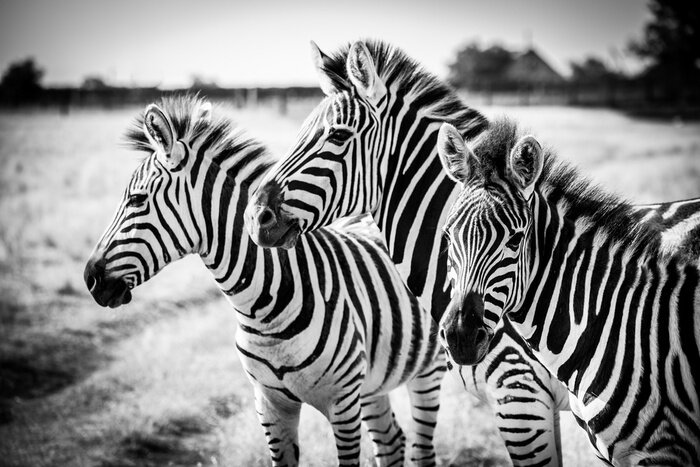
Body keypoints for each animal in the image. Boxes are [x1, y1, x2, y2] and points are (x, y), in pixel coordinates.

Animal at [83, 95, 447, 467]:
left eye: (137, 199)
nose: (90, 279)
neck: (264, 309)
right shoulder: (270, 404)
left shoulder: (342, 403)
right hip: (372, 382)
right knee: (391, 441)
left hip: (427, 371)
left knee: (420, 447)